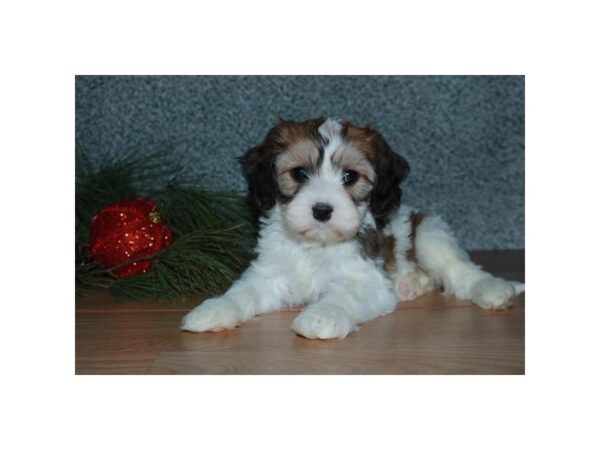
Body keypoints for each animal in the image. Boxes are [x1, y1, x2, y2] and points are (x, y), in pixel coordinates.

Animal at [180, 118, 524, 340]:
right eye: (299, 173)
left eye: (350, 177)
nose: (321, 210)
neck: (316, 246)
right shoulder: (270, 272)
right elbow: (244, 292)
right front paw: (216, 308)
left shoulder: (366, 279)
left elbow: (344, 294)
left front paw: (323, 315)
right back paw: (411, 285)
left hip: (429, 235)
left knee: (460, 271)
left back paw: (492, 289)